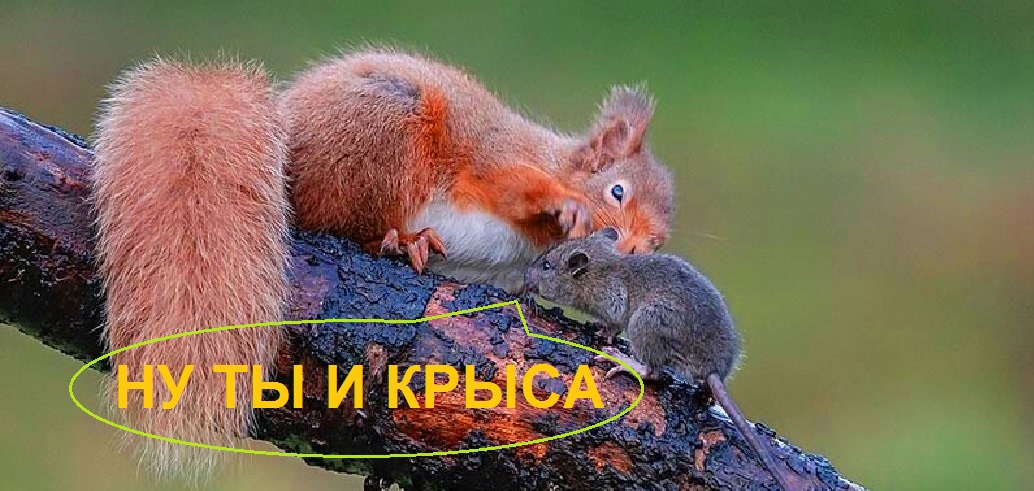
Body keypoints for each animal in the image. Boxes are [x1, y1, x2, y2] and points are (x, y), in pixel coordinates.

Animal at [91, 48, 674, 478]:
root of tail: (285, 142)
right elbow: (515, 185)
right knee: (341, 217)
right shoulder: (496, 162)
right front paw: (565, 204)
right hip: (388, 127)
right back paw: (400, 240)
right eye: (617, 191)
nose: (631, 252)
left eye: (659, 240)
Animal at [522, 228, 797, 491]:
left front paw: (604, 333)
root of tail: (712, 369)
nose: (525, 277)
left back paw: (622, 360)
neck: (601, 266)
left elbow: (613, 326)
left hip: (644, 322)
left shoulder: (613, 304)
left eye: (546, 266)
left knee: (652, 372)